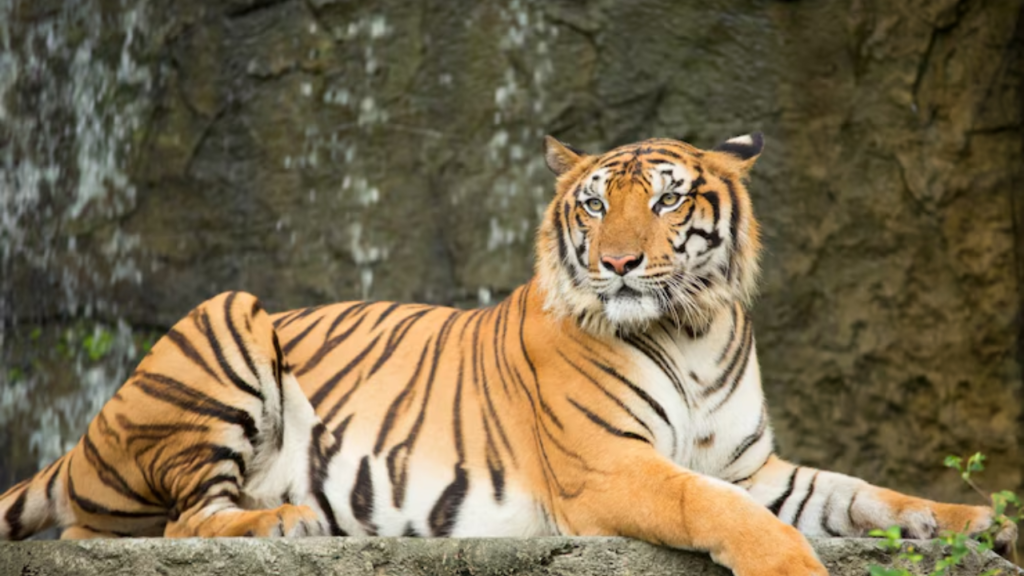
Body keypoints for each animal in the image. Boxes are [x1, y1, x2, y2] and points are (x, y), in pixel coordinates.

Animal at [0, 134, 1016, 576]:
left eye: (670, 199)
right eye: (596, 204)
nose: (619, 264)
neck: (695, 329)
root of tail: (86, 435)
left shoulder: (753, 466)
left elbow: (870, 495)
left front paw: (985, 522)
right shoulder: (609, 468)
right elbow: (718, 510)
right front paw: (792, 567)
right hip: (229, 318)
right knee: (175, 522)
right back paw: (289, 522)